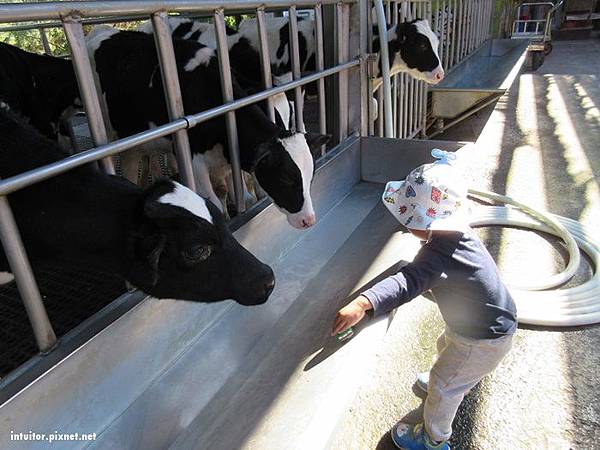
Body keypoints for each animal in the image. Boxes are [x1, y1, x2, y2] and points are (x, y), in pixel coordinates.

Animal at [86, 28, 317, 229]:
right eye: (286, 177)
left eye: (309, 174)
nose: (309, 220)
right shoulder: (194, 160)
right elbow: (215, 206)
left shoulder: (229, 158)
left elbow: (246, 197)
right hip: (110, 133)